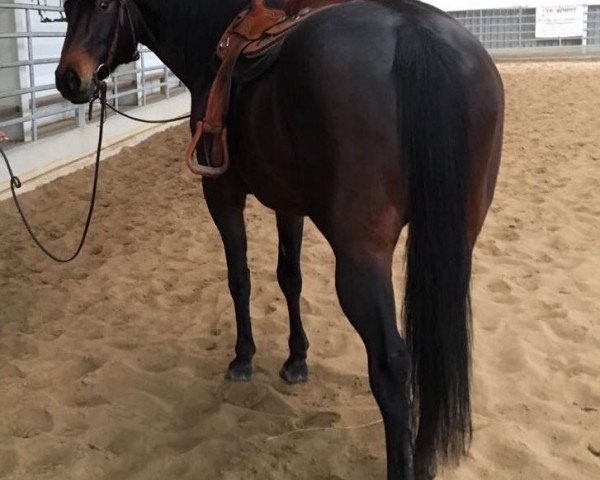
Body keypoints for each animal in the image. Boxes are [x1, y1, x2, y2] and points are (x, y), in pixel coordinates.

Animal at [56, 1, 504, 478]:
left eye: (104, 4)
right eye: (66, 7)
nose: (68, 78)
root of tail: (413, 32)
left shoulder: (222, 194)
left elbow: (240, 278)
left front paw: (243, 357)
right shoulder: (289, 205)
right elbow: (290, 278)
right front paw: (296, 359)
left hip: (362, 258)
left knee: (392, 364)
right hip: (455, 245)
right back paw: (426, 455)